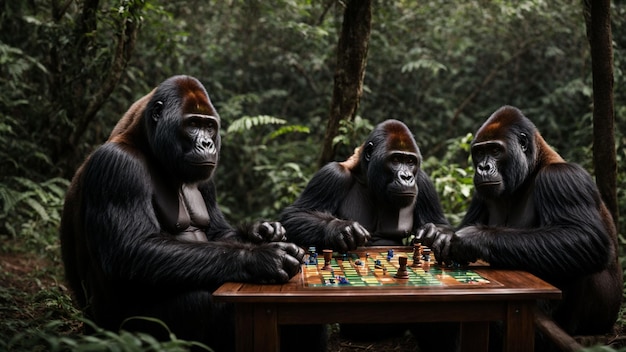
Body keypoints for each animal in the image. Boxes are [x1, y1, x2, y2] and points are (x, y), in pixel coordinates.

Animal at [60, 75, 314, 350]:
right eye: (192, 124)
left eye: (209, 126)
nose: (207, 144)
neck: (145, 144)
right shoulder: (117, 164)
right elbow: (130, 249)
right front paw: (261, 258)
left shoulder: (206, 179)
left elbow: (218, 234)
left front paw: (262, 232)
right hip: (121, 335)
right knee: (204, 305)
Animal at [416, 106, 620, 344]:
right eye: (479, 152)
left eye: (495, 150)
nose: (483, 167)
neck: (533, 166)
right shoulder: (480, 194)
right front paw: (437, 233)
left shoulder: (563, 177)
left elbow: (584, 237)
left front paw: (469, 239)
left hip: (597, 321)